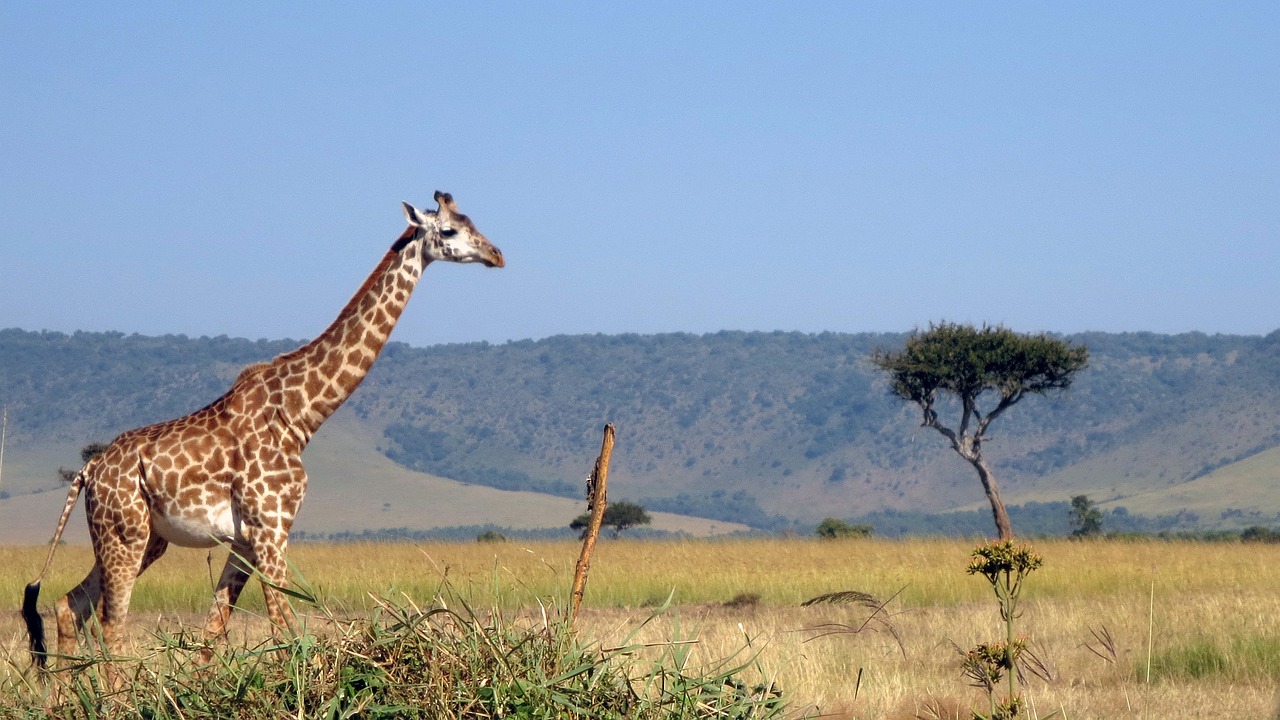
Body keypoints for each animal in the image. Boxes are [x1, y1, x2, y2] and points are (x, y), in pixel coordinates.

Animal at [23, 190, 504, 666]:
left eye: (473, 221)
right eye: (450, 230)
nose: (496, 255)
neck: (300, 415)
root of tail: (89, 471)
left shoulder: (246, 538)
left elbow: (213, 636)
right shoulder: (272, 528)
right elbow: (288, 630)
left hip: (143, 539)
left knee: (70, 604)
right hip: (125, 533)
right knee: (111, 625)